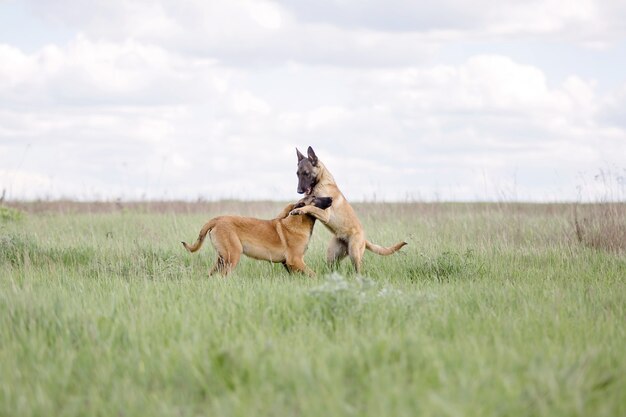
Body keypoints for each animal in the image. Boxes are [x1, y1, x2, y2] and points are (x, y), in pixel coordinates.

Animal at [180, 195, 332, 276]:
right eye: (314, 197)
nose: (330, 198)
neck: (299, 222)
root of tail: (217, 219)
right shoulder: (295, 260)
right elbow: (313, 274)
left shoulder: (289, 264)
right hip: (232, 256)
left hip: (221, 260)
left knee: (211, 275)